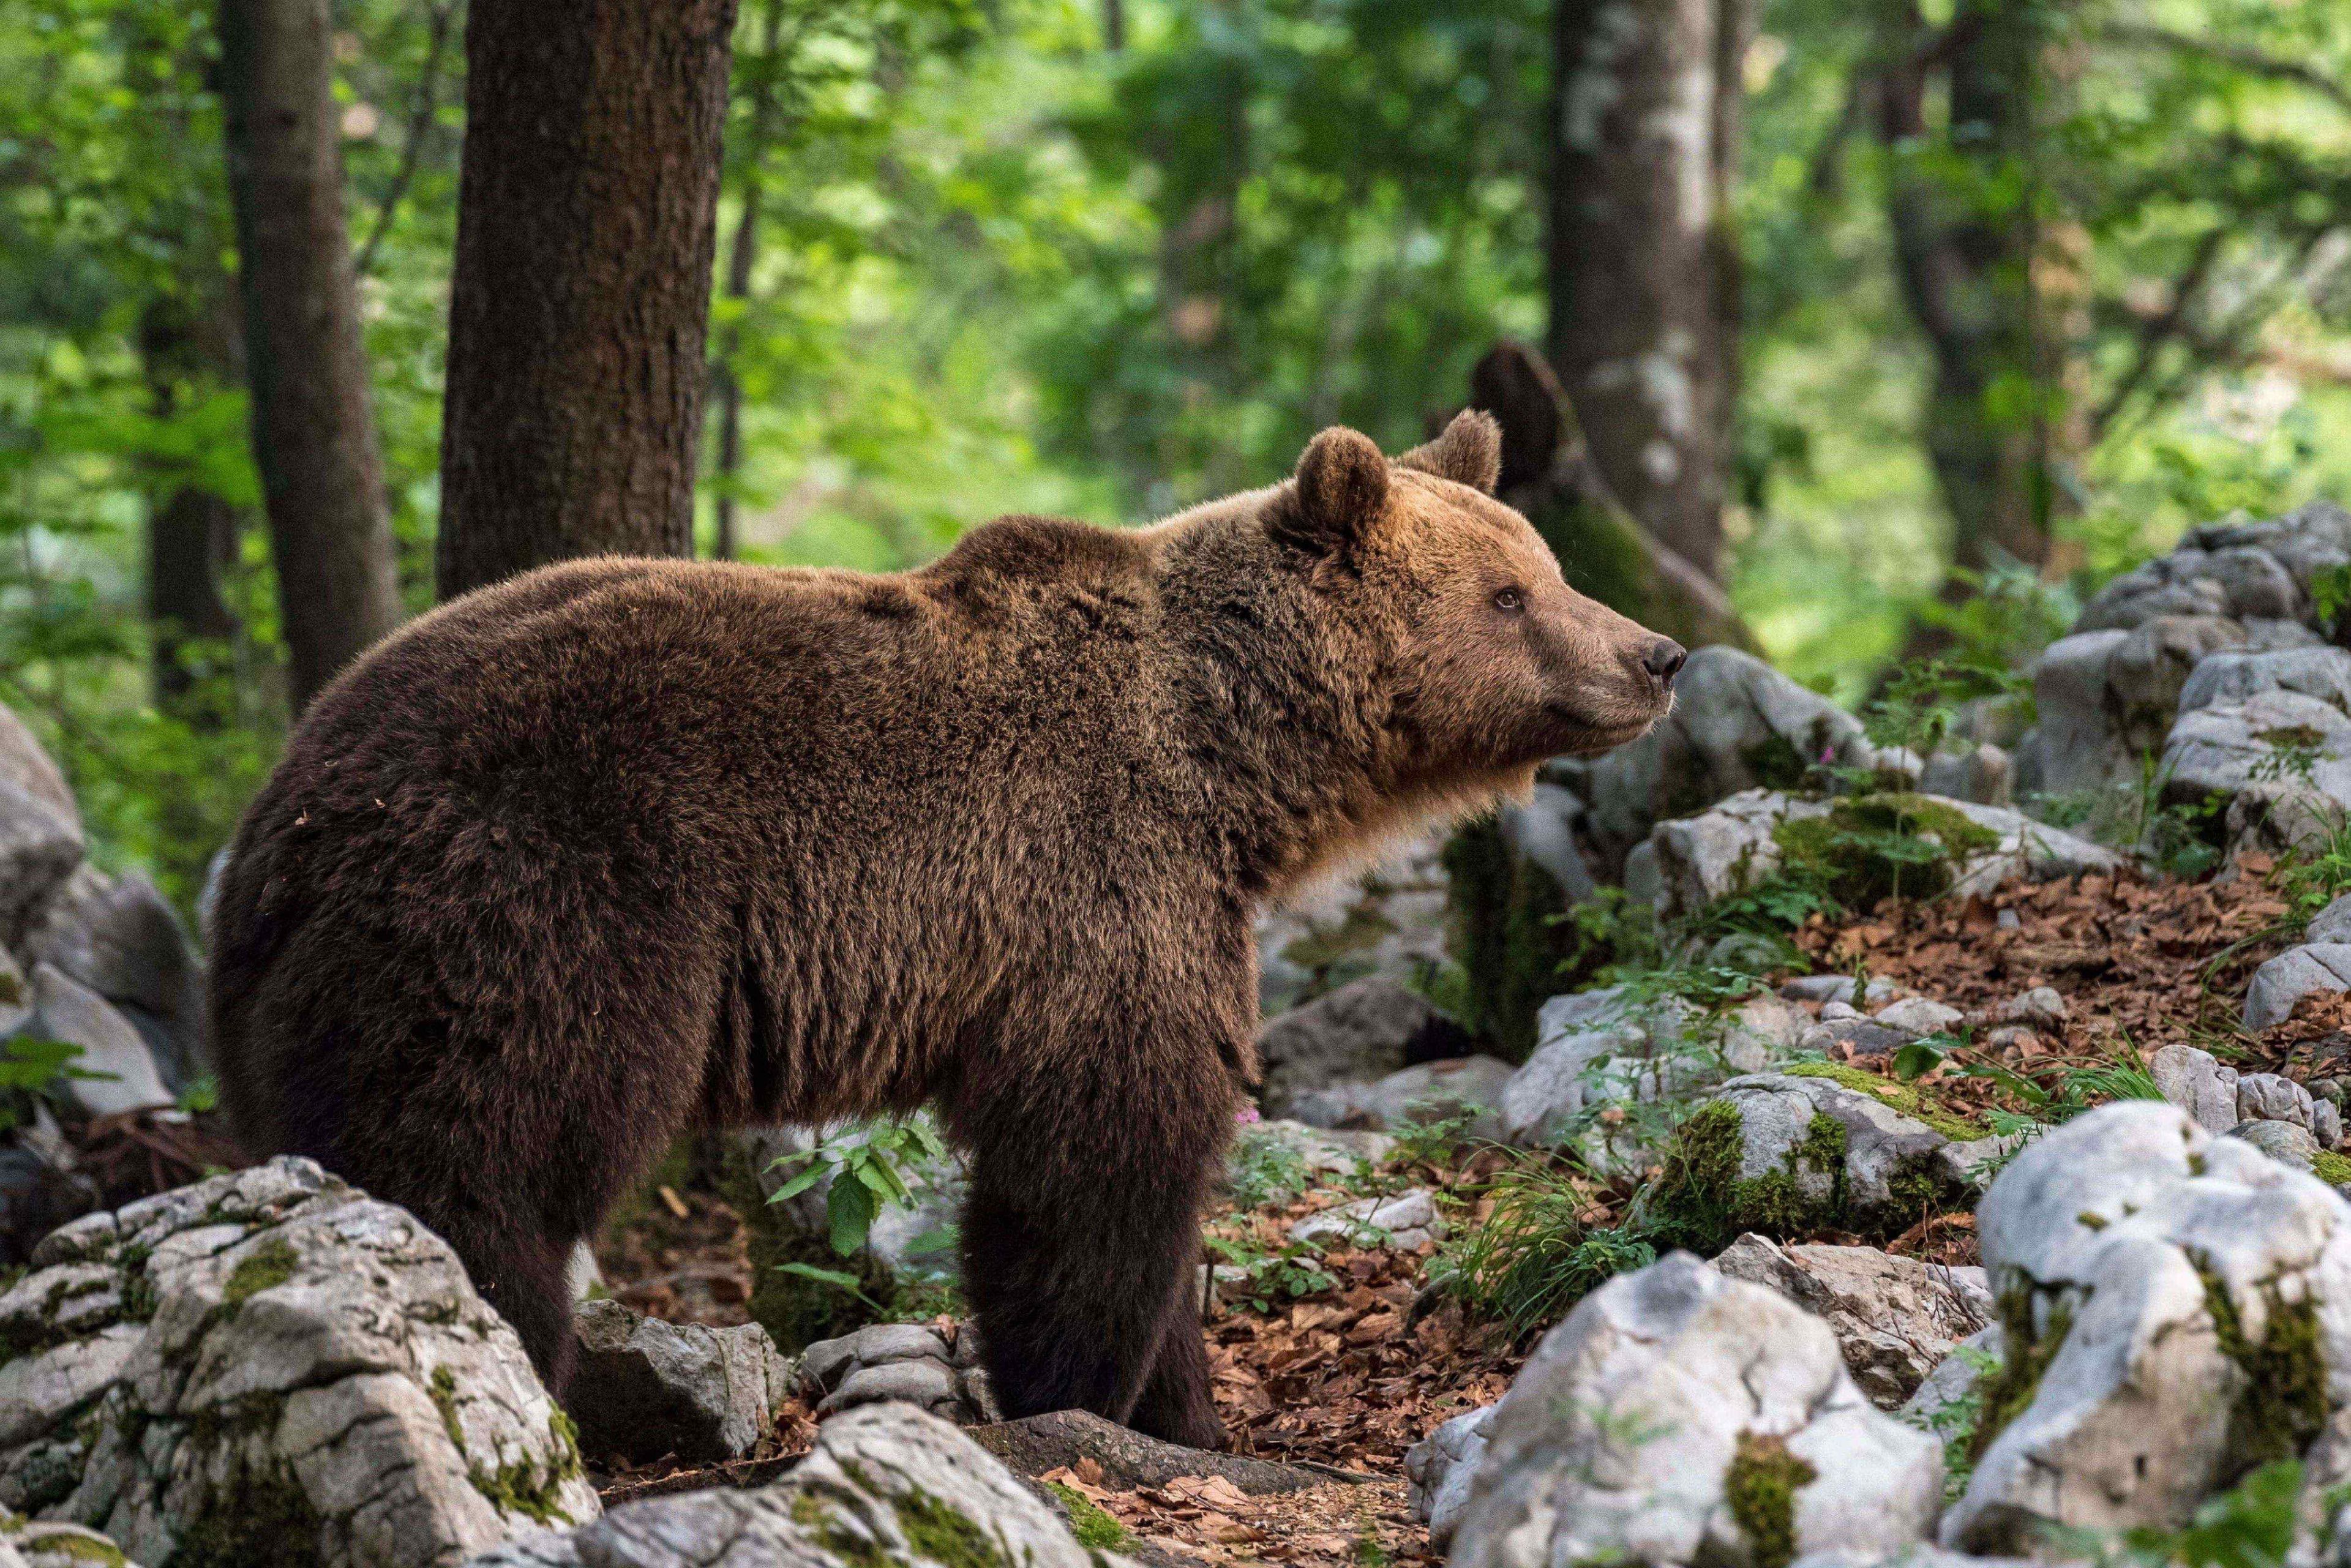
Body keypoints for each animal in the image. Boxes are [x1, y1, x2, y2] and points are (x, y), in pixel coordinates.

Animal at [207, 412, 1682, 1450]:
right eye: (1509, 595)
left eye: (1549, 567)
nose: (1658, 654)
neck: (1232, 764)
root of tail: (283, 806)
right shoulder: (1097, 879)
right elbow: (1098, 1159)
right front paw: (1083, 1392)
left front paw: (1192, 1412)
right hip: (537, 901)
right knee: (476, 1150)